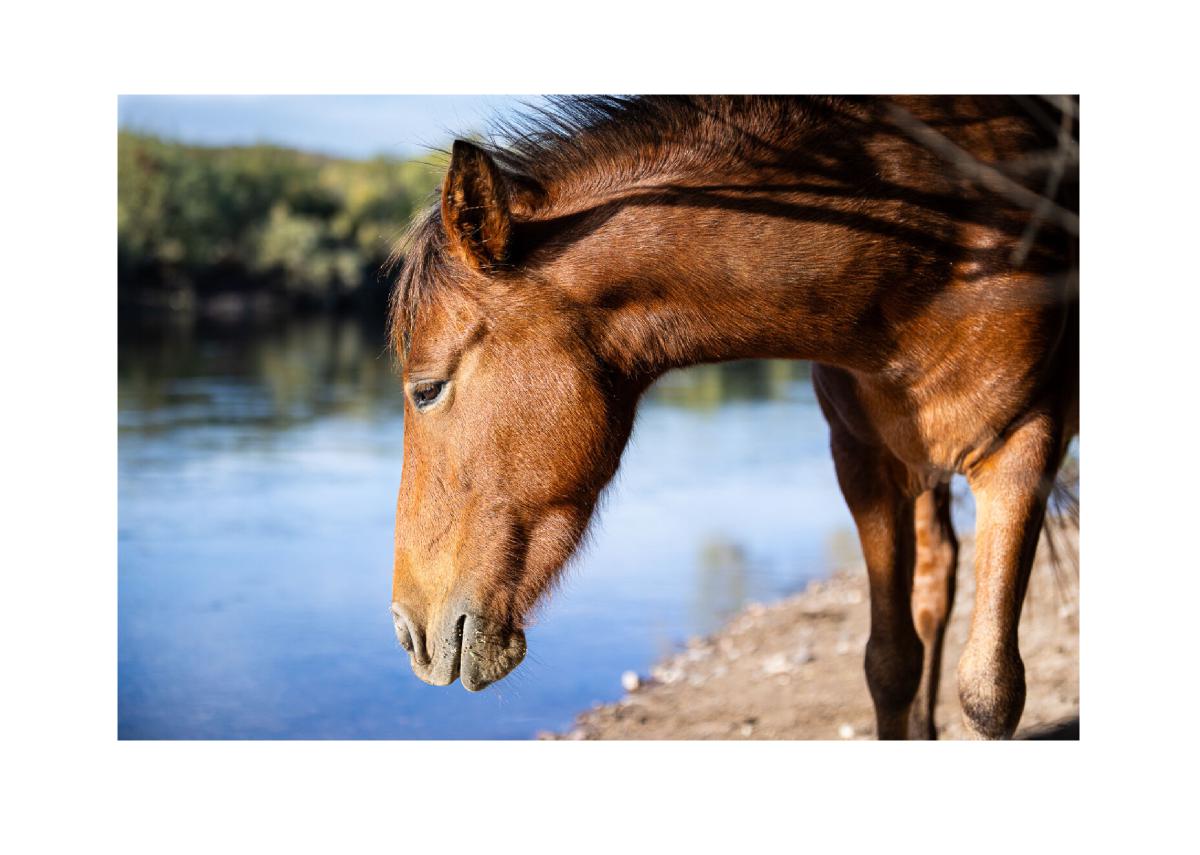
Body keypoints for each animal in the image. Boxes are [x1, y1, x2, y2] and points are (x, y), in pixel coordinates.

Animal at [387, 96, 1078, 739]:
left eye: (427, 390)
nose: (407, 630)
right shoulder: (863, 462)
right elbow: (890, 665)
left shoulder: (1025, 450)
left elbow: (990, 690)